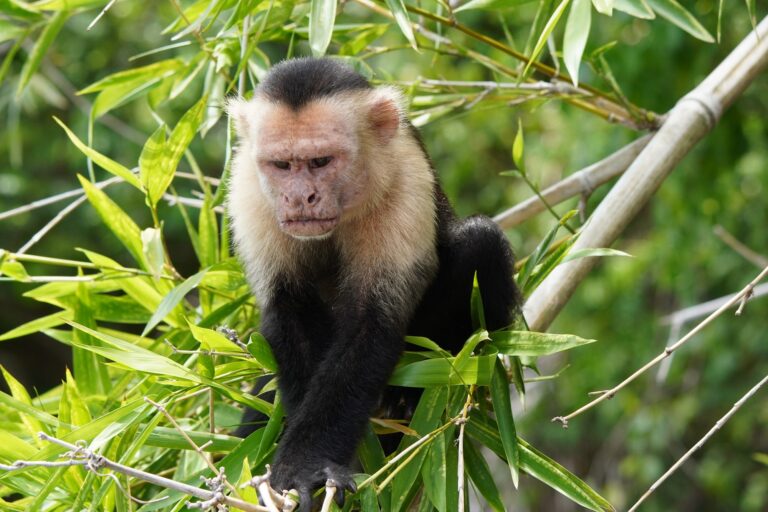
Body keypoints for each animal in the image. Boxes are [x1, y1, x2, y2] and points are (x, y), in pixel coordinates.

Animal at [227, 57, 519, 510]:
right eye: (281, 166)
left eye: (321, 161)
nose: (299, 198)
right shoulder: (249, 191)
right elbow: (286, 310)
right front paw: (302, 464)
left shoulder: (404, 179)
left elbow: (372, 324)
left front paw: (306, 466)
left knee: (480, 241)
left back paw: (410, 400)